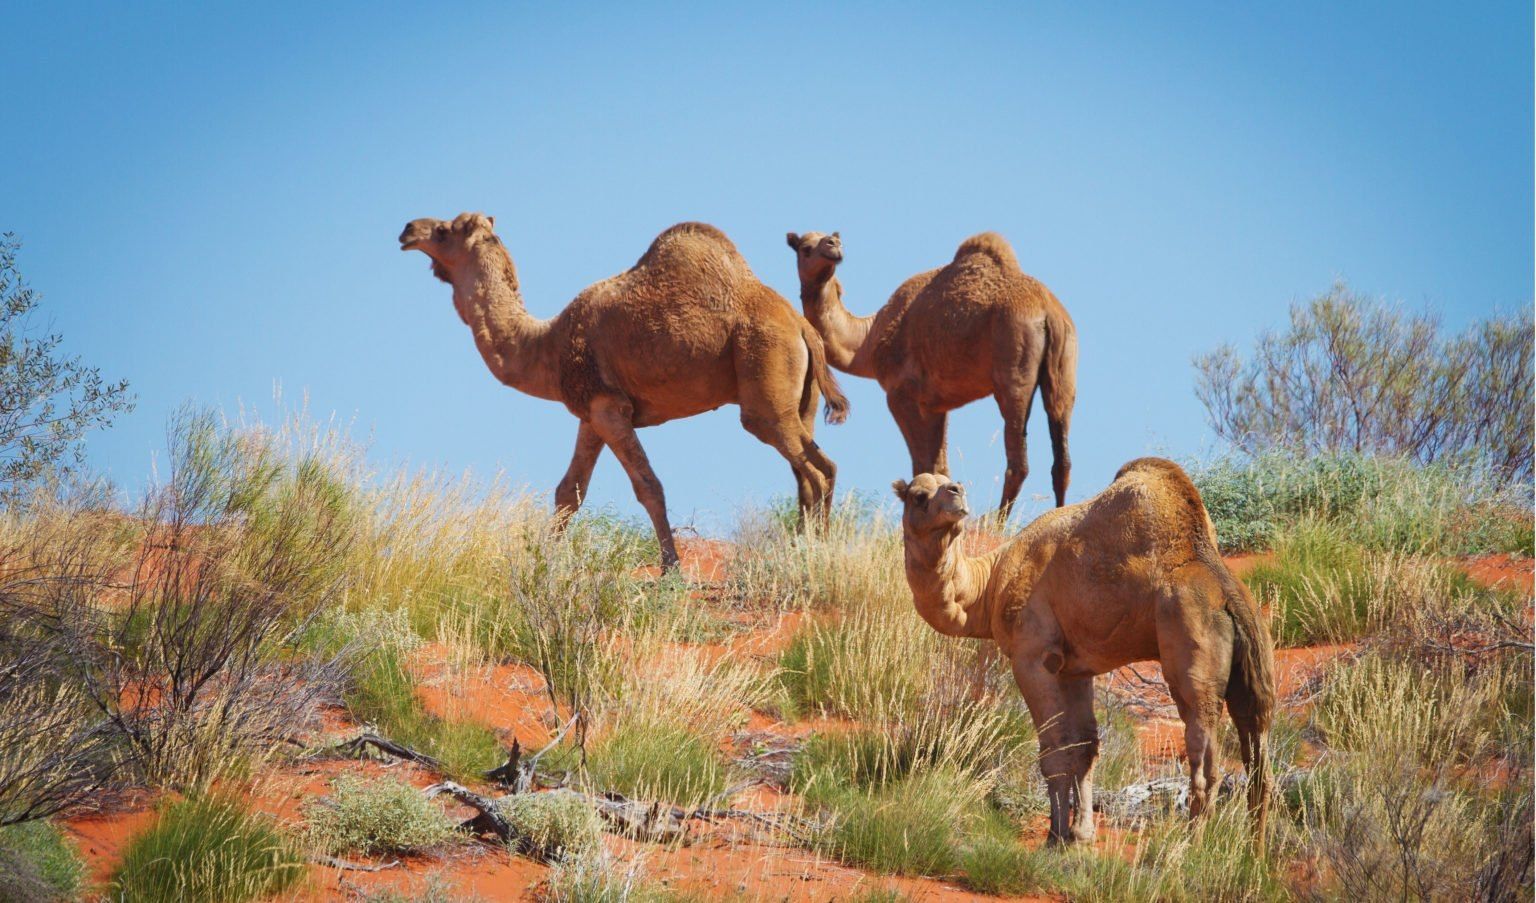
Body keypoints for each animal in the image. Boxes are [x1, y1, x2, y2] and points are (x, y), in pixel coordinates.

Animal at [402, 211, 847, 568]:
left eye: (444, 230)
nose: (408, 230)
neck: (548, 344)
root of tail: (802, 325)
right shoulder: (590, 413)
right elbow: (569, 492)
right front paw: (542, 564)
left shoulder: (608, 408)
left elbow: (648, 486)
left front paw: (671, 569)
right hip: (800, 401)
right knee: (807, 472)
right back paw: (806, 549)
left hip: (764, 384)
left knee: (818, 469)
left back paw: (818, 554)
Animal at [792, 228, 1081, 519]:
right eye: (805, 247)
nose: (833, 246)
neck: (867, 340)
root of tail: (1048, 311)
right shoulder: (936, 405)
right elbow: (940, 467)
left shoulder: (901, 395)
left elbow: (921, 465)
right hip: (1064, 374)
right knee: (1062, 459)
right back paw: (1060, 514)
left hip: (1013, 372)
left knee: (1018, 462)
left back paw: (996, 523)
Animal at [890, 457, 1271, 847]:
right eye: (919, 495)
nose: (957, 492)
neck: (992, 583)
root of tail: (1225, 591)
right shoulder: (1074, 669)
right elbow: (1085, 746)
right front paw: (1081, 833)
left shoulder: (1032, 657)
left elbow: (1054, 750)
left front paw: (1055, 836)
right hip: (1254, 659)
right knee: (1257, 751)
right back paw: (1253, 851)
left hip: (1191, 645)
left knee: (1204, 754)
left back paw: (1189, 847)